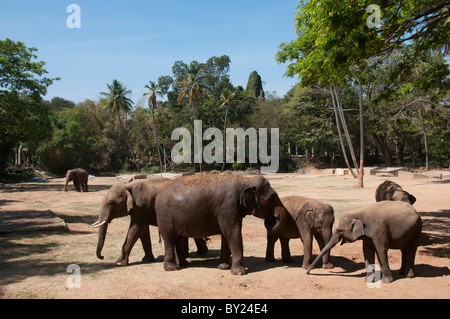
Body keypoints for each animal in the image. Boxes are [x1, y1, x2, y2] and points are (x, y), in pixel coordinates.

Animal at [156, 174, 288, 276]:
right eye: (268, 199)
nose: (272, 219)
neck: (246, 180)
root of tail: (159, 193)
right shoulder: (228, 207)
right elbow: (233, 232)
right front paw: (239, 272)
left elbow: (226, 234)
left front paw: (224, 267)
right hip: (165, 217)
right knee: (169, 238)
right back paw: (172, 268)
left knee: (177, 239)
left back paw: (183, 265)